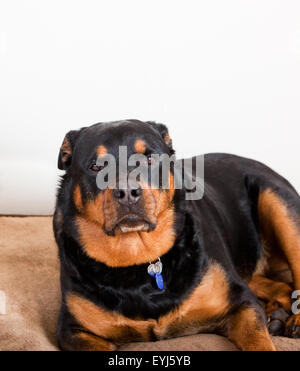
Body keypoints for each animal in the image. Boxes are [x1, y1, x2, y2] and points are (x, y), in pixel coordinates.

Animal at [53, 120, 300, 352]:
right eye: (96, 166)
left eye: (149, 159)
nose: (127, 192)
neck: (138, 260)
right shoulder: (74, 330)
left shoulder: (241, 302)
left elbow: (257, 338)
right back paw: (276, 315)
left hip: (278, 201)